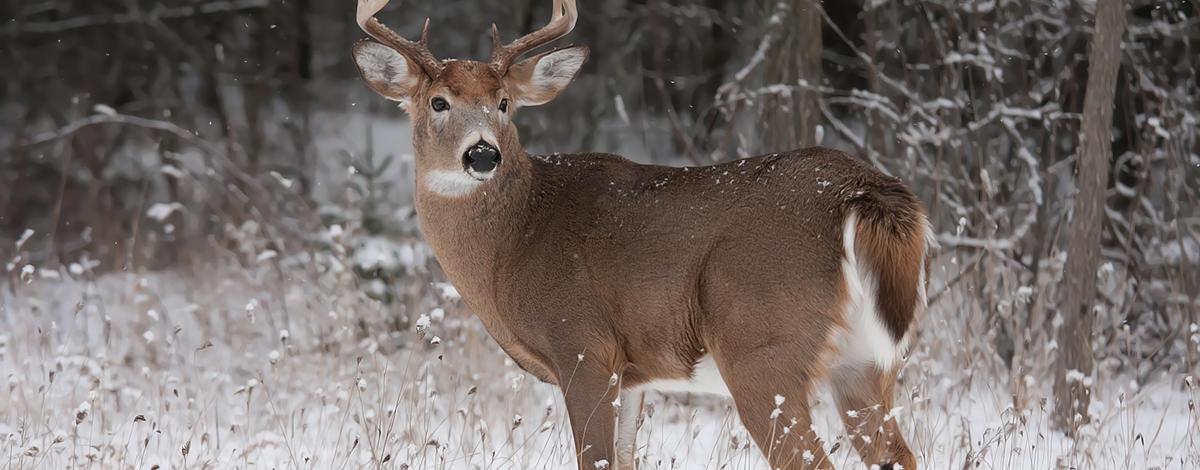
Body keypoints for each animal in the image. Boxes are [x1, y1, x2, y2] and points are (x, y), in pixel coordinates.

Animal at [351, 0, 932, 468]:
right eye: (438, 102)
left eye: (503, 103)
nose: (481, 154)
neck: (514, 245)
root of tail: (863, 191)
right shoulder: (631, 374)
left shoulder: (583, 347)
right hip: (867, 363)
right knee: (900, 454)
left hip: (763, 348)